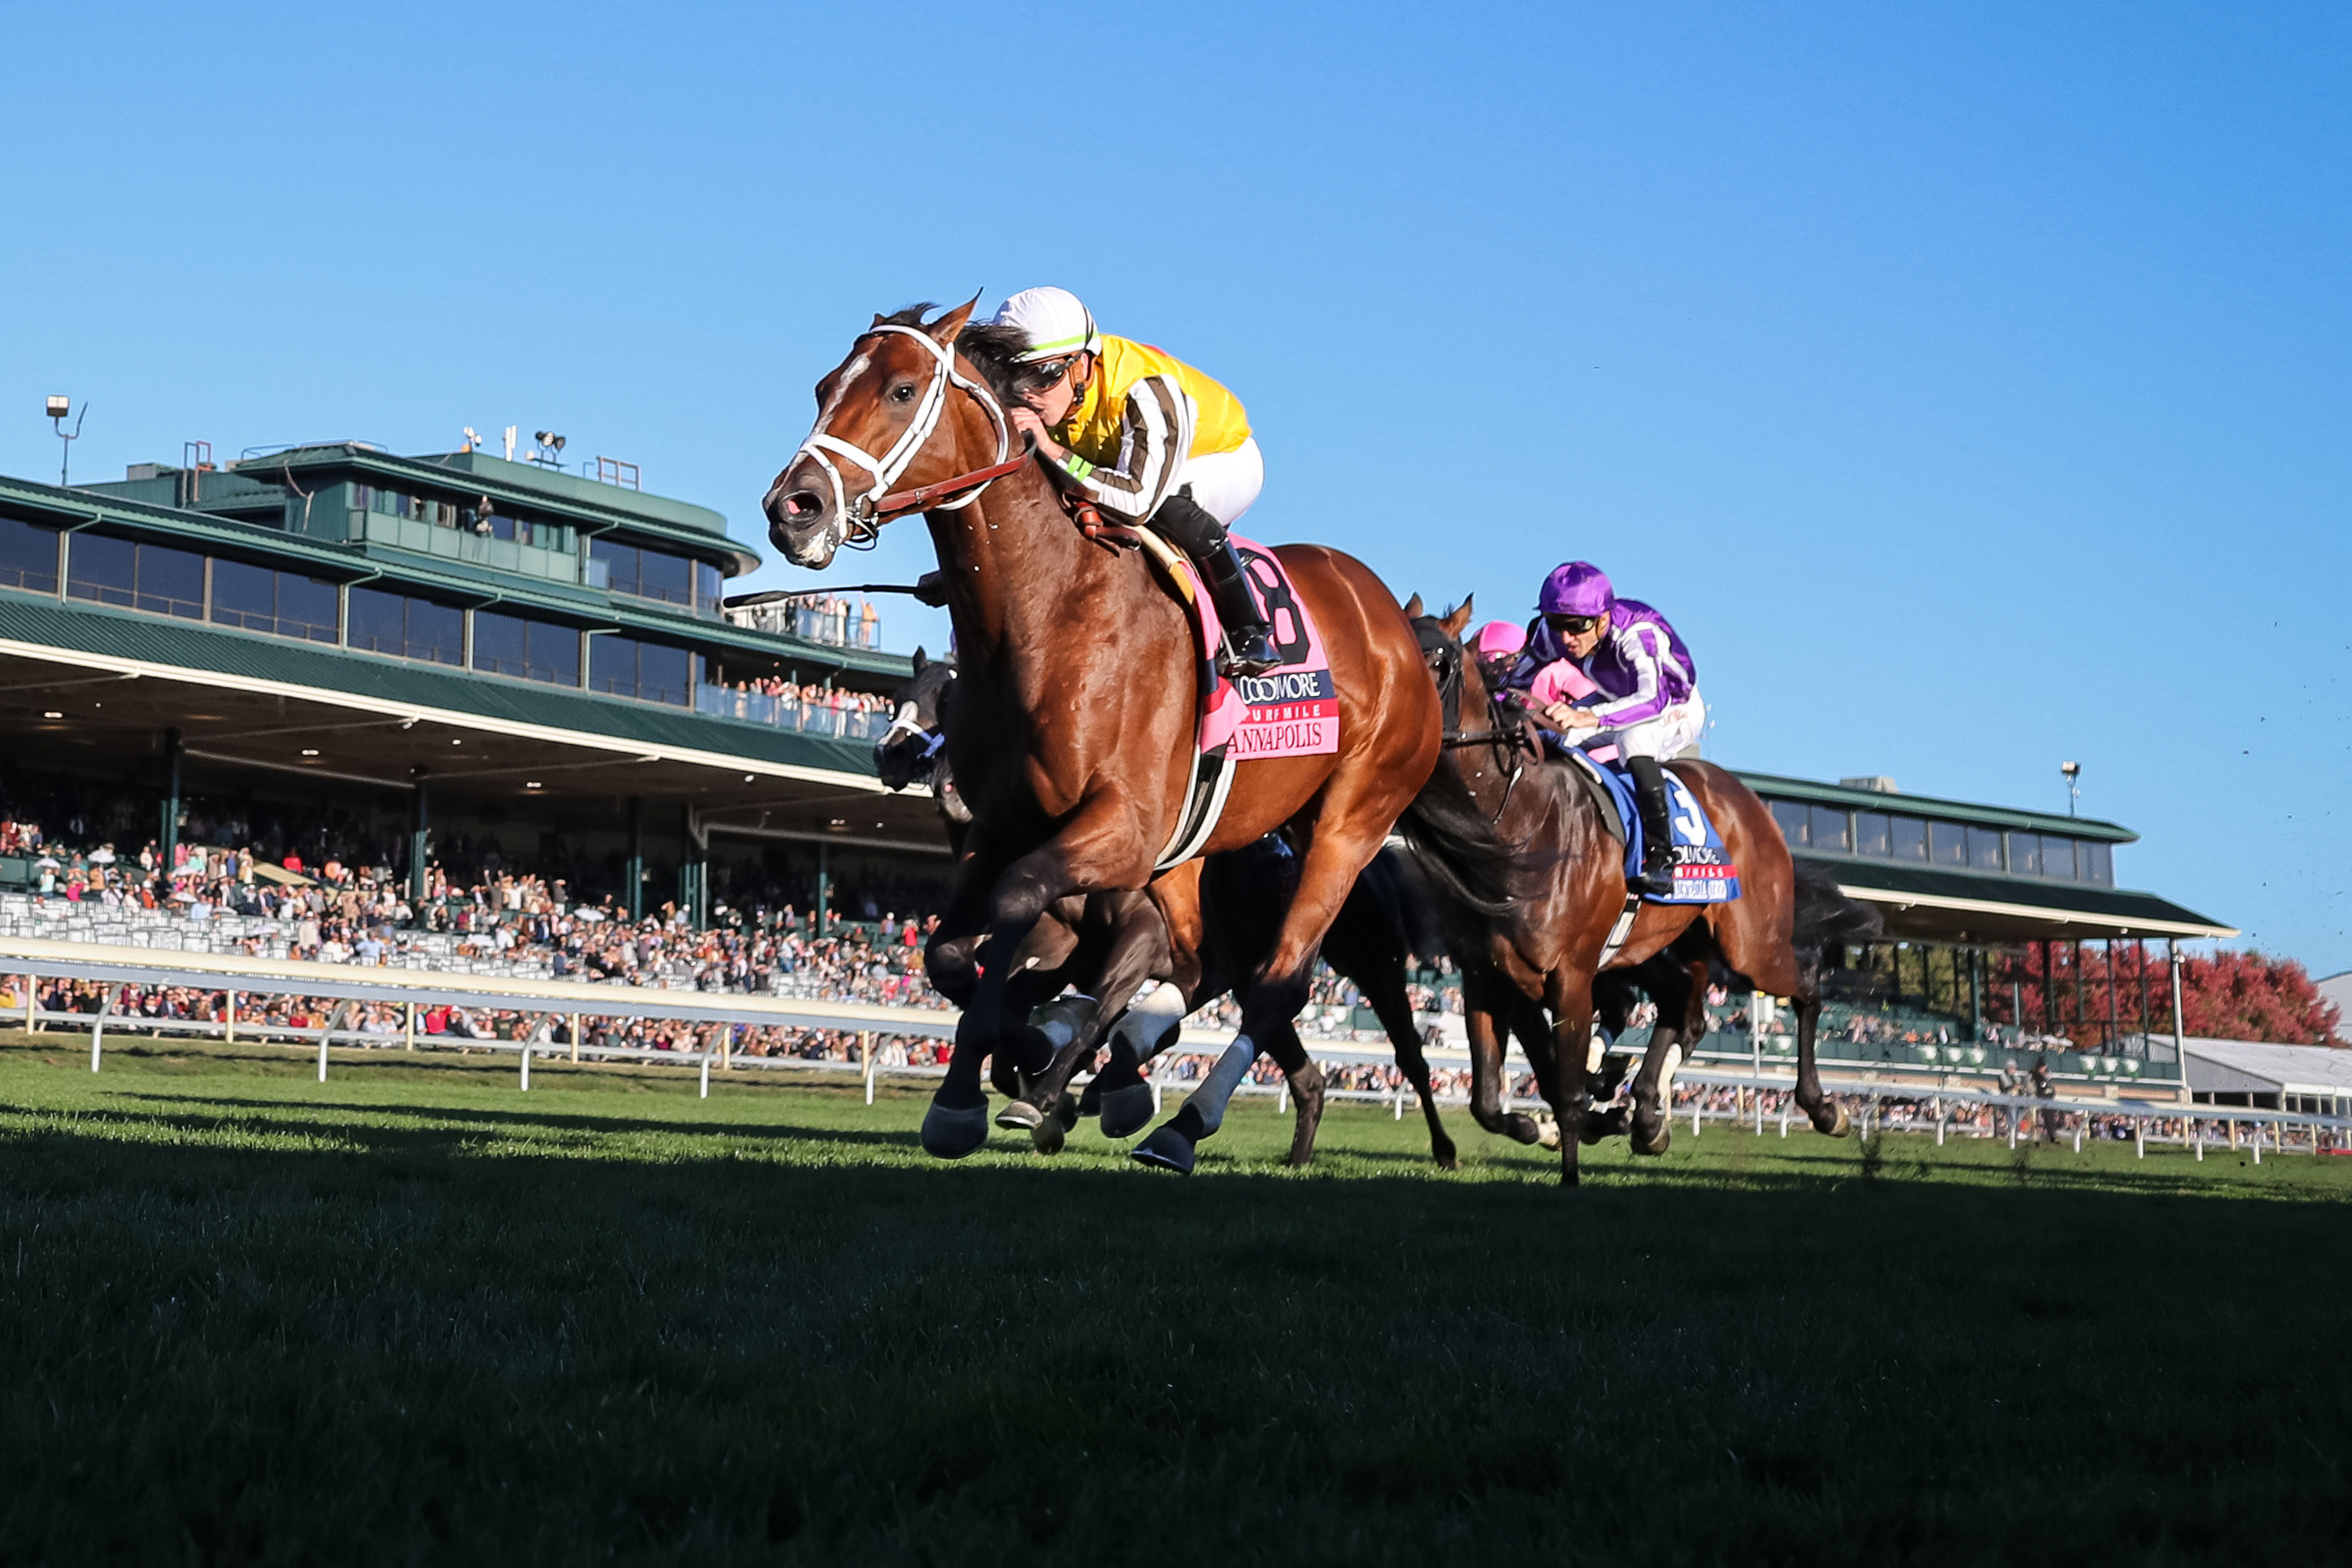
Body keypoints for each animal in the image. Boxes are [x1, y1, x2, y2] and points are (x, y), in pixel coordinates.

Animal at [771, 303, 1505, 1175]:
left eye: (903, 389)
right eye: (821, 388)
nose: (793, 507)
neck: (1048, 615)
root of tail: (1395, 623)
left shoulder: (1121, 828)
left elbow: (1022, 904)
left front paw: (1000, 1085)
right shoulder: (1003, 827)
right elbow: (952, 954)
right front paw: (1026, 1068)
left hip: (1352, 824)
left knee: (1280, 983)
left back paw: (1183, 1125)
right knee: (1207, 968)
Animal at [1411, 594, 1872, 1185]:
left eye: (1439, 660)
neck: (1516, 823)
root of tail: (1747, 800)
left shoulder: (1571, 974)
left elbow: (1565, 1091)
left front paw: (1572, 1166)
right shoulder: (1487, 974)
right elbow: (1488, 1101)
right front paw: (1556, 1122)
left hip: (1750, 945)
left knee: (1806, 984)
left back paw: (1823, 1107)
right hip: (1664, 943)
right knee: (1684, 1009)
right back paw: (1647, 1112)